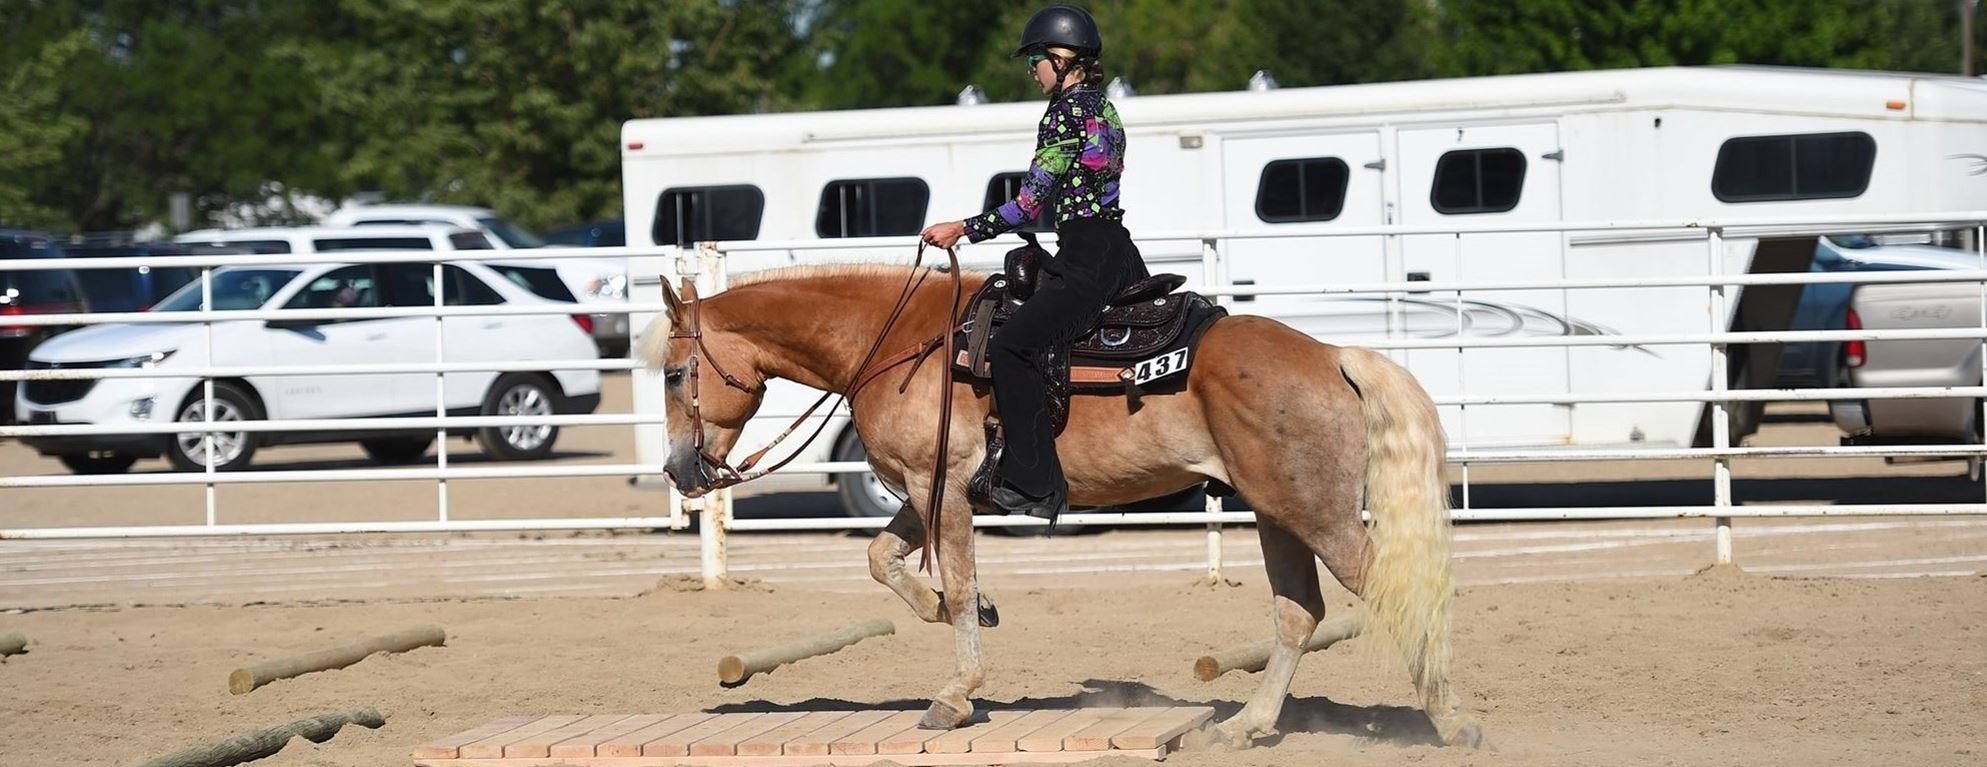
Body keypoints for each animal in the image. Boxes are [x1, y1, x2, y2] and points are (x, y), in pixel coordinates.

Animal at [635, 264, 1478, 747]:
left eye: (676, 373)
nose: (678, 468)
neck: (898, 342)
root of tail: (1331, 355)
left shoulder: (940, 485)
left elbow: (954, 583)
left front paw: (955, 692)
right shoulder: (927, 486)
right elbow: (883, 559)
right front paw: (946, 609)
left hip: (1317, 514)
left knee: (1390, 597)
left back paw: (1452, 722)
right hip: (1277, 511)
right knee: (1298, 613)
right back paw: (1249, 723)